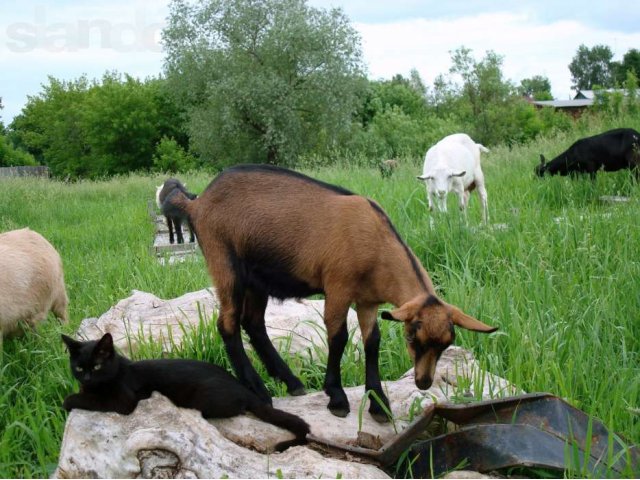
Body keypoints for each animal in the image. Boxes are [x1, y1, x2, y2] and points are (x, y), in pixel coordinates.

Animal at [62, 332, 310, 452]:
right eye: (79, 368)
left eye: (96, 367)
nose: (86, 378)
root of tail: (245, 390)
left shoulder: (124, 400)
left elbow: (93, 399)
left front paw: (70, 400)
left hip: (204, 398)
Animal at [165, 164, 496, 420]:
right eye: (413, 337)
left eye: (446, 343)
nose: (424, 383)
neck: (375, 243)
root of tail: (197, 203)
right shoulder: (337, 287)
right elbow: (338, 337)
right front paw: (337, 397)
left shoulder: (367, 300)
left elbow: (371, 341)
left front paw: (378, 403)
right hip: (225, 263)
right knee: (228, 324)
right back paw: (258, 389)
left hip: (257, 278)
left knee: (253, 323)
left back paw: (290, 381)